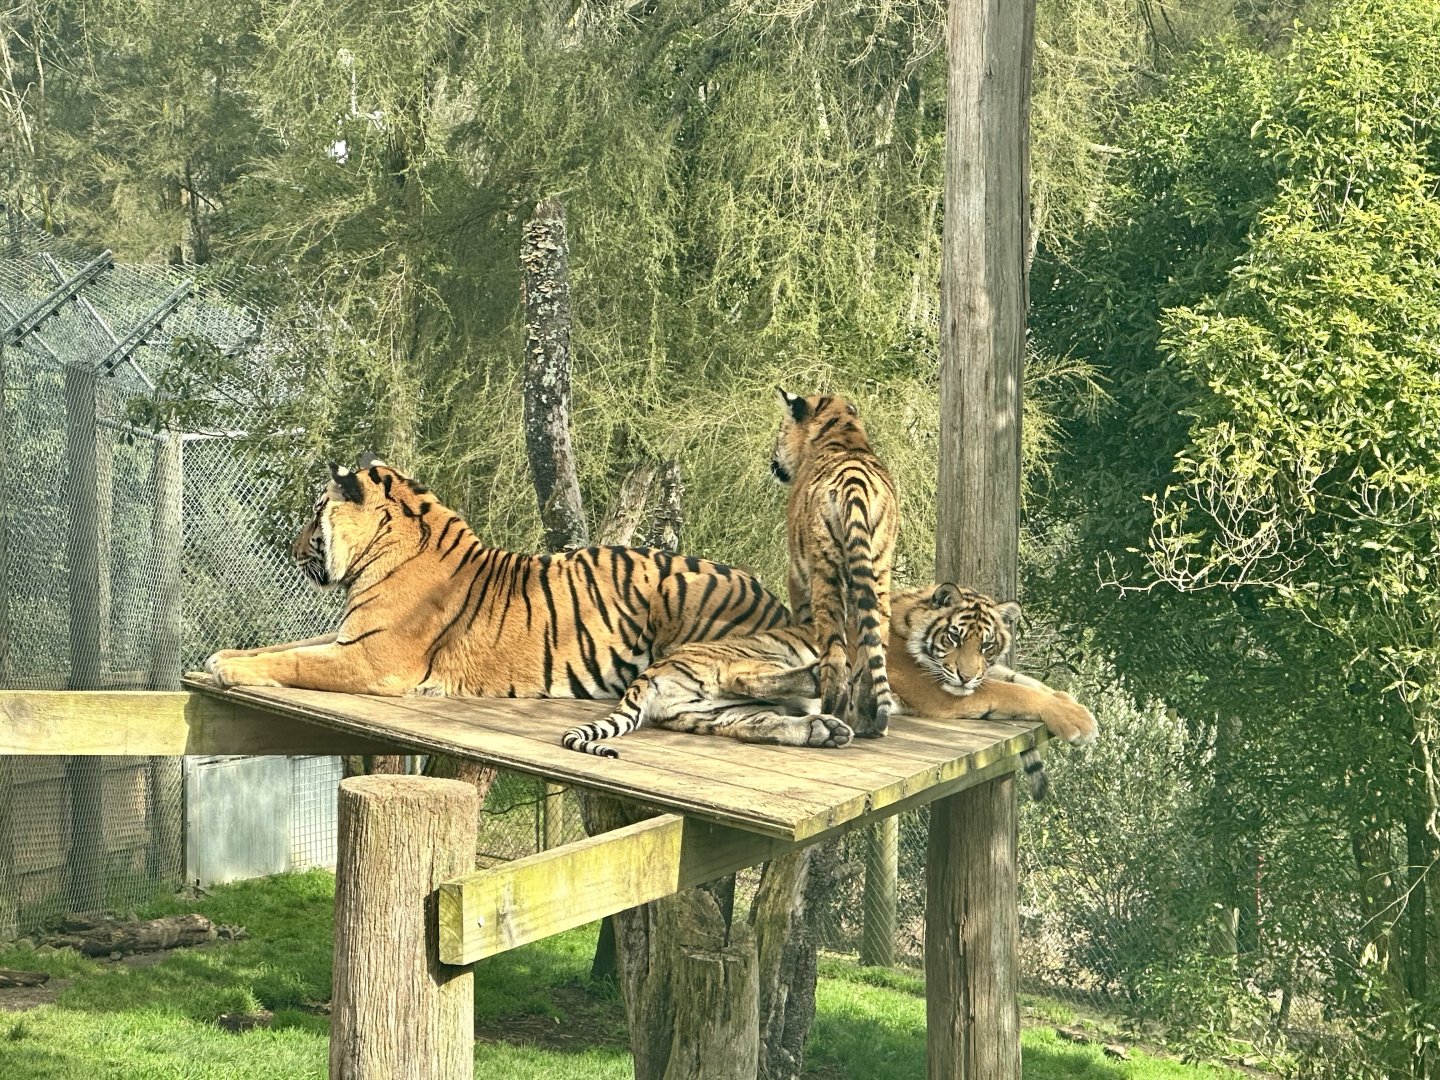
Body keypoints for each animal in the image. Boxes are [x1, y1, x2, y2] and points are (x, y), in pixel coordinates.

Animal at [204, 456, 798, 703]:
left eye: (313, 517)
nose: (291, 548)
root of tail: (775, 602)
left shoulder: (373, 657)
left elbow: (296, 660)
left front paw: (226, 667)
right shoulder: (351, 638)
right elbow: (285, 647)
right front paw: (229, 655)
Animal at [560, 582, 1096, 772]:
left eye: (986, 644)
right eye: (954, 638)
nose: (966, 674)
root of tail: (653, 671)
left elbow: (1023, 681)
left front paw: (1073, 703)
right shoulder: (936, 690)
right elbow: (1009, 690)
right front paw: (1079, 723)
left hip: (715, 713)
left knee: (758, 723)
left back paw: (824, 728)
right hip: (754, 657)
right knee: (743, 674)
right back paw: (823, 682)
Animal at [770, 389, 899, 738]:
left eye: (780, 430)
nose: (772, 462)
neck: (842, 430)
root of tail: (854, 482)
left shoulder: (796, 575)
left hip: (825, 572)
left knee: (835, 652)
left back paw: (831, 711)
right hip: (879, 571)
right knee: (874, 647)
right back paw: (870, 723)